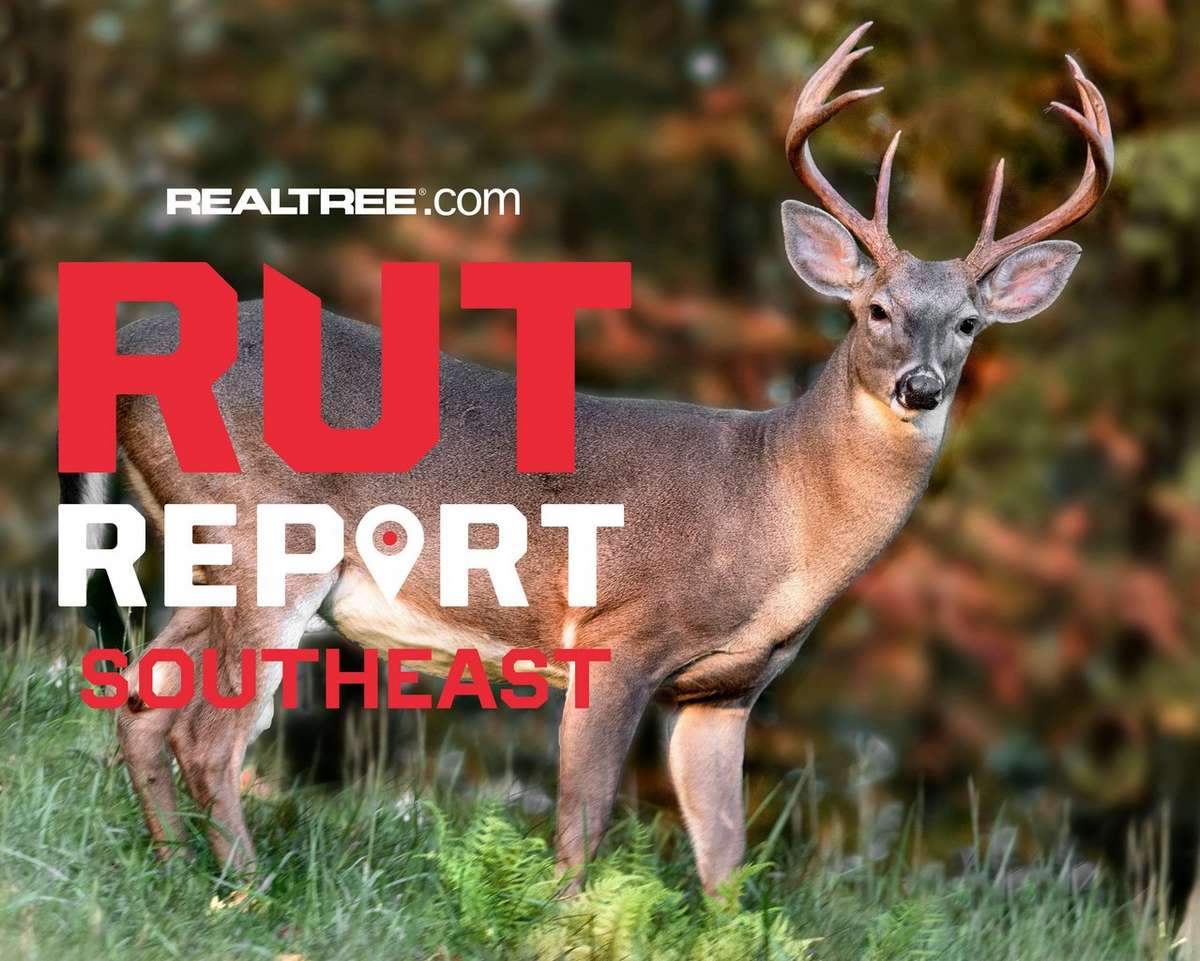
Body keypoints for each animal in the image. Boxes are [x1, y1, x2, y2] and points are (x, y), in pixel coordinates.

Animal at [61, 22, 1112, 897]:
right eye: (876, 309)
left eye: (969, 324)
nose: (921, 386)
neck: (778, 505)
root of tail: (130, 343)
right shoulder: (619, 631)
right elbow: (582, 828)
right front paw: (562, 924)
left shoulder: (725, 689)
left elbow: (725, 861)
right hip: (271, 540)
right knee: (209, 734)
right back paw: (250, 895)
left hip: (206, 554)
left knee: (141, 704)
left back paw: (176, 874)